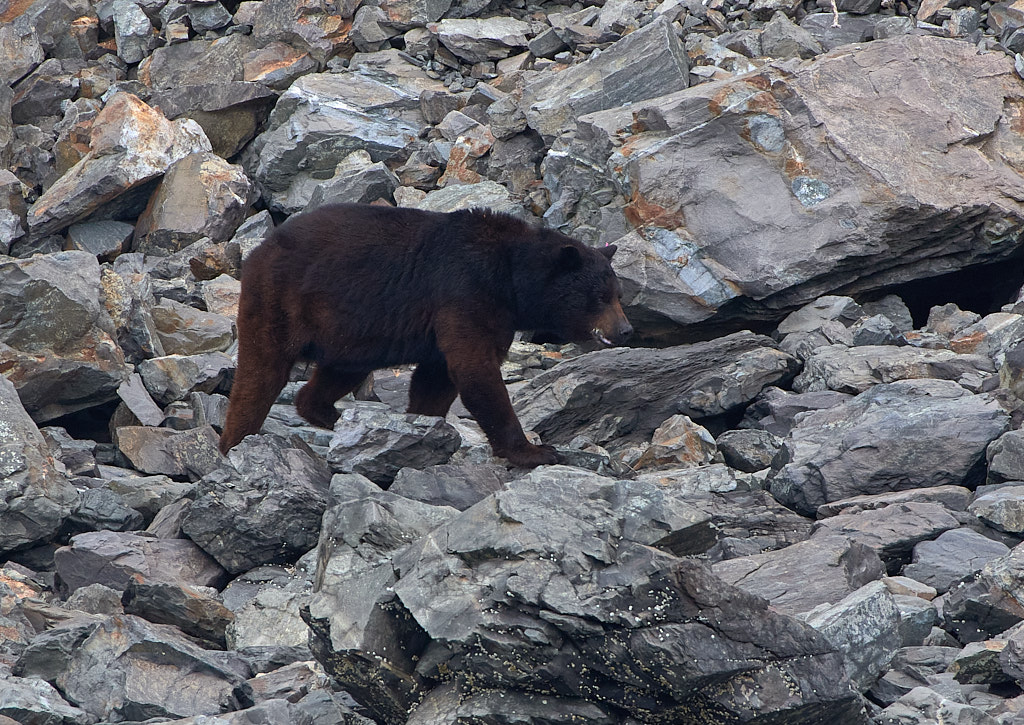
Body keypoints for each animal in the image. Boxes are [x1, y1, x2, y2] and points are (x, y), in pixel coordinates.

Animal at [218, 203, 633, 468]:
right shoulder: (467, 292)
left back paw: (329, 414)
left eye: (618, 294)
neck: (513, 277)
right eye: (600, 297)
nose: (625, 329)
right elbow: (476, 370)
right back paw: (234, 443)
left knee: (336, 373)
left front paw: (422, 428)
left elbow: (437, 378)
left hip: (353, 332)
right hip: (280, 301)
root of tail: (257, 251)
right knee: (261, 375)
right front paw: (534, 451)